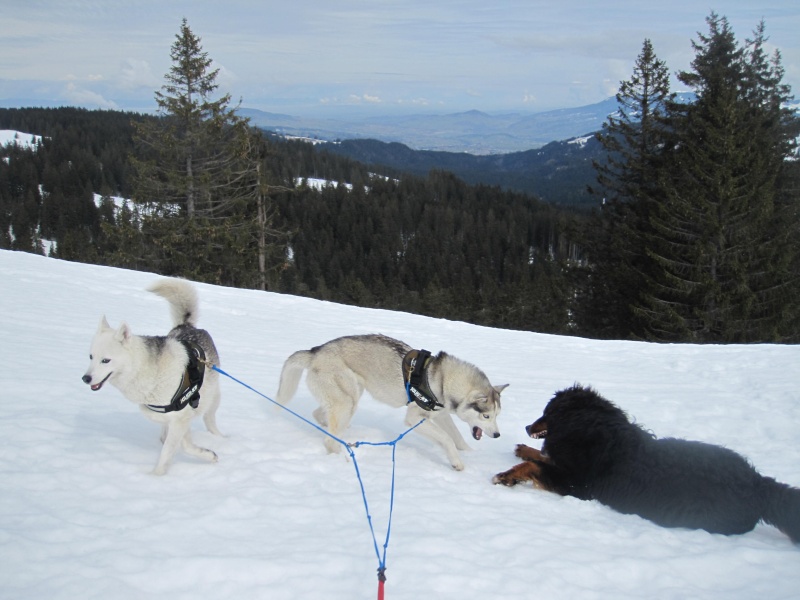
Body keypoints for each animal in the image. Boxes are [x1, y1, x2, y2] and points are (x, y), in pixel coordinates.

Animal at [81, 278, 222, 476]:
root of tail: (186, 326)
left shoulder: (181, 418)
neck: (146, 369)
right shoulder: (175, 418)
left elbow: (176, 447)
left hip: (212, 400)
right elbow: (180, 442)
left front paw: (156, 477)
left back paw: (222, 438)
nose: (85, 378)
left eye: (105, 360)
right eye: (91, 357)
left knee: (210, 420)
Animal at [276, 332, 506, 468]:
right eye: (486, 416)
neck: (442, 380)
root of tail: (315, 351)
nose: (497, 435)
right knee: (329, 440)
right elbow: (448, 439)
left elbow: (457, 438)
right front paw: (458, 463)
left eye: (497, 415)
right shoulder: (414, 418)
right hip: (347, 401)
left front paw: (471, 454)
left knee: (320, 416)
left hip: (351, 396)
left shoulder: (440, 415)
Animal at [494, 384, 800, 544]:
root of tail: (760, 484)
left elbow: (537, 467)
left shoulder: (577, 485)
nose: (526, 426)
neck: (590, 426)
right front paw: (524, 449)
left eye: (547, 412)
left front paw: (508, 475)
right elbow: (542, 457)